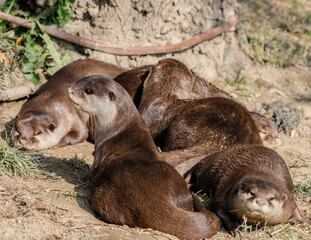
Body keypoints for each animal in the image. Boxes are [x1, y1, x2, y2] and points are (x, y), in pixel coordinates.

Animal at [67, 75, 222, 240]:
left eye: (88, 90)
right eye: (78, 81)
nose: (70, 90)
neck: (118, 128)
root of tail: (154, 199)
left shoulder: (101, 152)